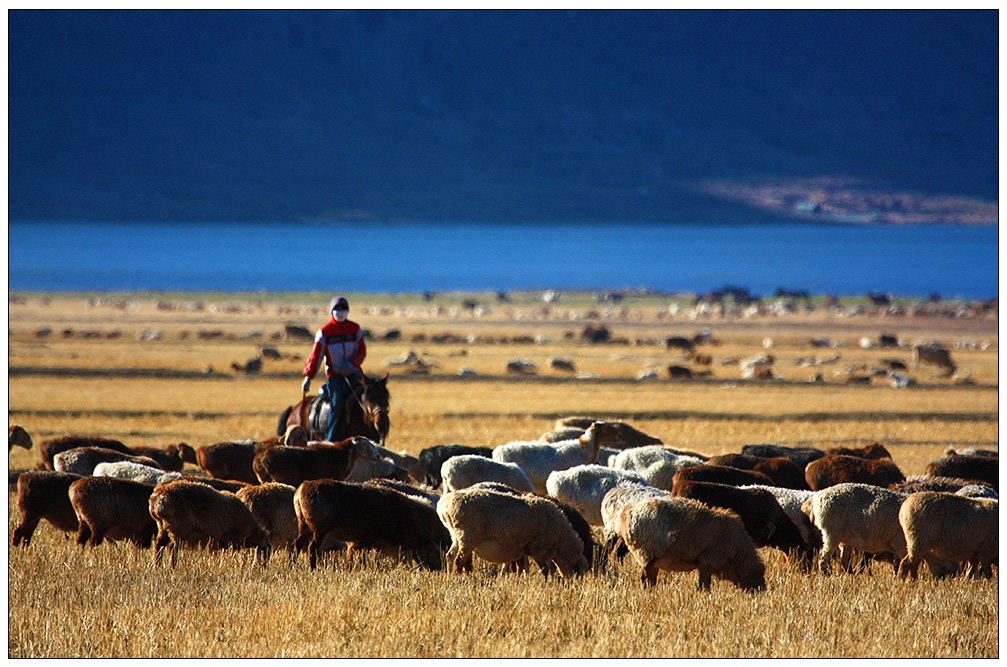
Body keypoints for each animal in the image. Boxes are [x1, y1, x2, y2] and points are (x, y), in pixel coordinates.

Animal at [292, 481, 449, 568]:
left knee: (297, 544)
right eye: (433, 555)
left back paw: (292, 565)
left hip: (304, 525)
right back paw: (312, 569)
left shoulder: (368, 543)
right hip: (319, 529)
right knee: (312, 548)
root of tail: (301, 490)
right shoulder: (365, 541)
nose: (439, 571)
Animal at [612, 495, 761, 592]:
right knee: (645, 579)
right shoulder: (707, 562)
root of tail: (628, 511)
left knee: (651, 580)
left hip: (653, 559)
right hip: (647, 554)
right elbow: (704, 587)